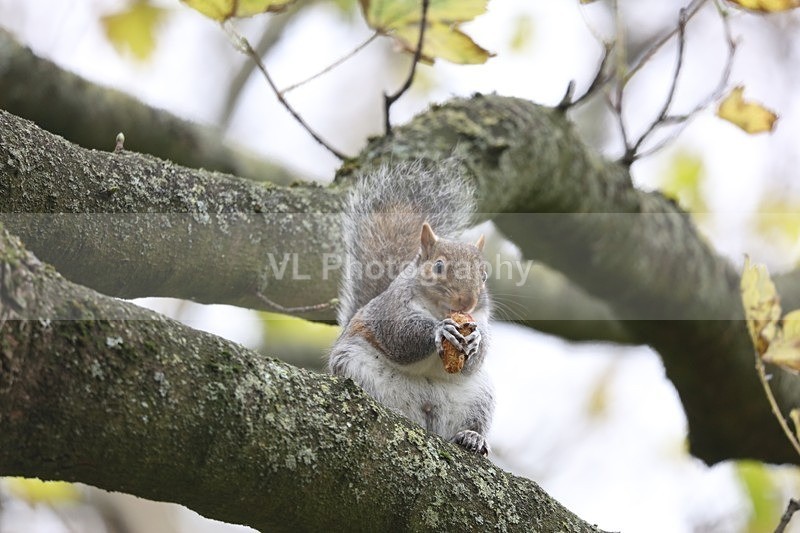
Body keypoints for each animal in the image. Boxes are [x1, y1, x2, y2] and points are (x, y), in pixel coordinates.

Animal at [328, 160, 494, 455]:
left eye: (484, 276)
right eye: (438, 267)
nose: (468, 301)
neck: (439, 310)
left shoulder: (481, 319)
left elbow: (477, 357)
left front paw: (475, 340)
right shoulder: (391, 309)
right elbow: (400, 335)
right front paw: (441, 331)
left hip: (477, 398)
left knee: (470, 422)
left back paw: (472, 437)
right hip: (355, 366)